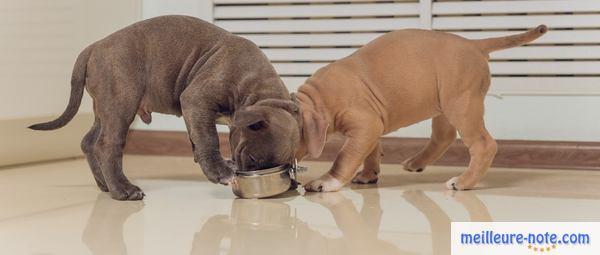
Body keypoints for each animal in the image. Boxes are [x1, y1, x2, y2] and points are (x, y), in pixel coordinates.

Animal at [29, 15, 300, 201]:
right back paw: (123, 190)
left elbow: (198, 134)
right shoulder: (195, 99)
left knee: (88, 141)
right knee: (107, 146)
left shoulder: (197, 110)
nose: (248, 174)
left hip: (104, 108)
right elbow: (208, 137)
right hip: (121, 104)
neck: (254, 88)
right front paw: (218, 170)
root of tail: (94, 47)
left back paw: (105, 183)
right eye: (253, 158)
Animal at [296, 25, 548, 191]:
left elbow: (346, 156)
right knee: (444, 136)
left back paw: (463, 182)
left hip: (462, 105)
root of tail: (473, 44)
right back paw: (417, 163)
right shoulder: (372, 126)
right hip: (445, 104)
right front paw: (369, 174)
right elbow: (370, 151)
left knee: (483, 145)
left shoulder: (365, 125)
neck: (318, 98)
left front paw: (327, 181)